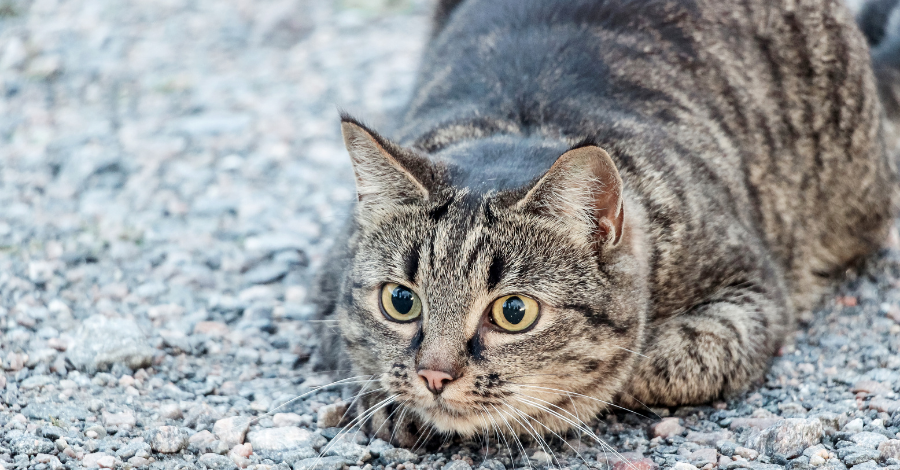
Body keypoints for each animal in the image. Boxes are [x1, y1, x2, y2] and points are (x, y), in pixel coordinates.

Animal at [312, 0, 900, 444]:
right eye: (400, 301)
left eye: (513, 312)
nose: (434, 374)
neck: (524, 122)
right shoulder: (328, 276)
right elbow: (347, 342)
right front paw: (385, 400)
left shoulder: (752, 291)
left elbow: (662, 360)